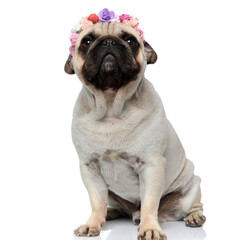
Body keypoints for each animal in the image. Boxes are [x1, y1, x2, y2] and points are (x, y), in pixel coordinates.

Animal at [64, 21, 205, 239]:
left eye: (130, 40)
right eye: (86, 42)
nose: (108, 41)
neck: (111, 107)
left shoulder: (151, 165)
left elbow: (149, 202)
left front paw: (149, 228)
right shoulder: (89, 168)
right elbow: (96, 201)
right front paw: (93, 224)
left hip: (192, 187)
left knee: (193, 205)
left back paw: (194, 217)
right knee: (114, 205)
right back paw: (111, 213)